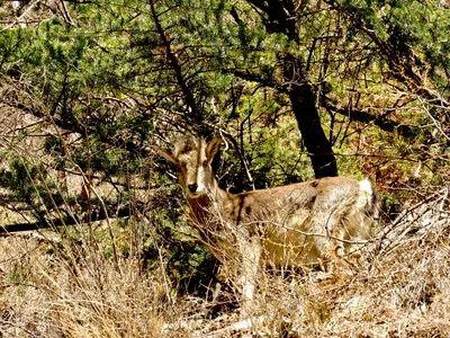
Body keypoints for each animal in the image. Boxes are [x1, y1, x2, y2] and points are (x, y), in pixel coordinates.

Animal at [158, 135, 376, 312]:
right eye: (178, 165)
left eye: (204, 161)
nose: (193, 186)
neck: (225, 209)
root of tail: (362, 188)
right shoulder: (229, 258)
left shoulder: (250, 242)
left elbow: (247, 284)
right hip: (356, 236)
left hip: (323, 231)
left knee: (344, 269)